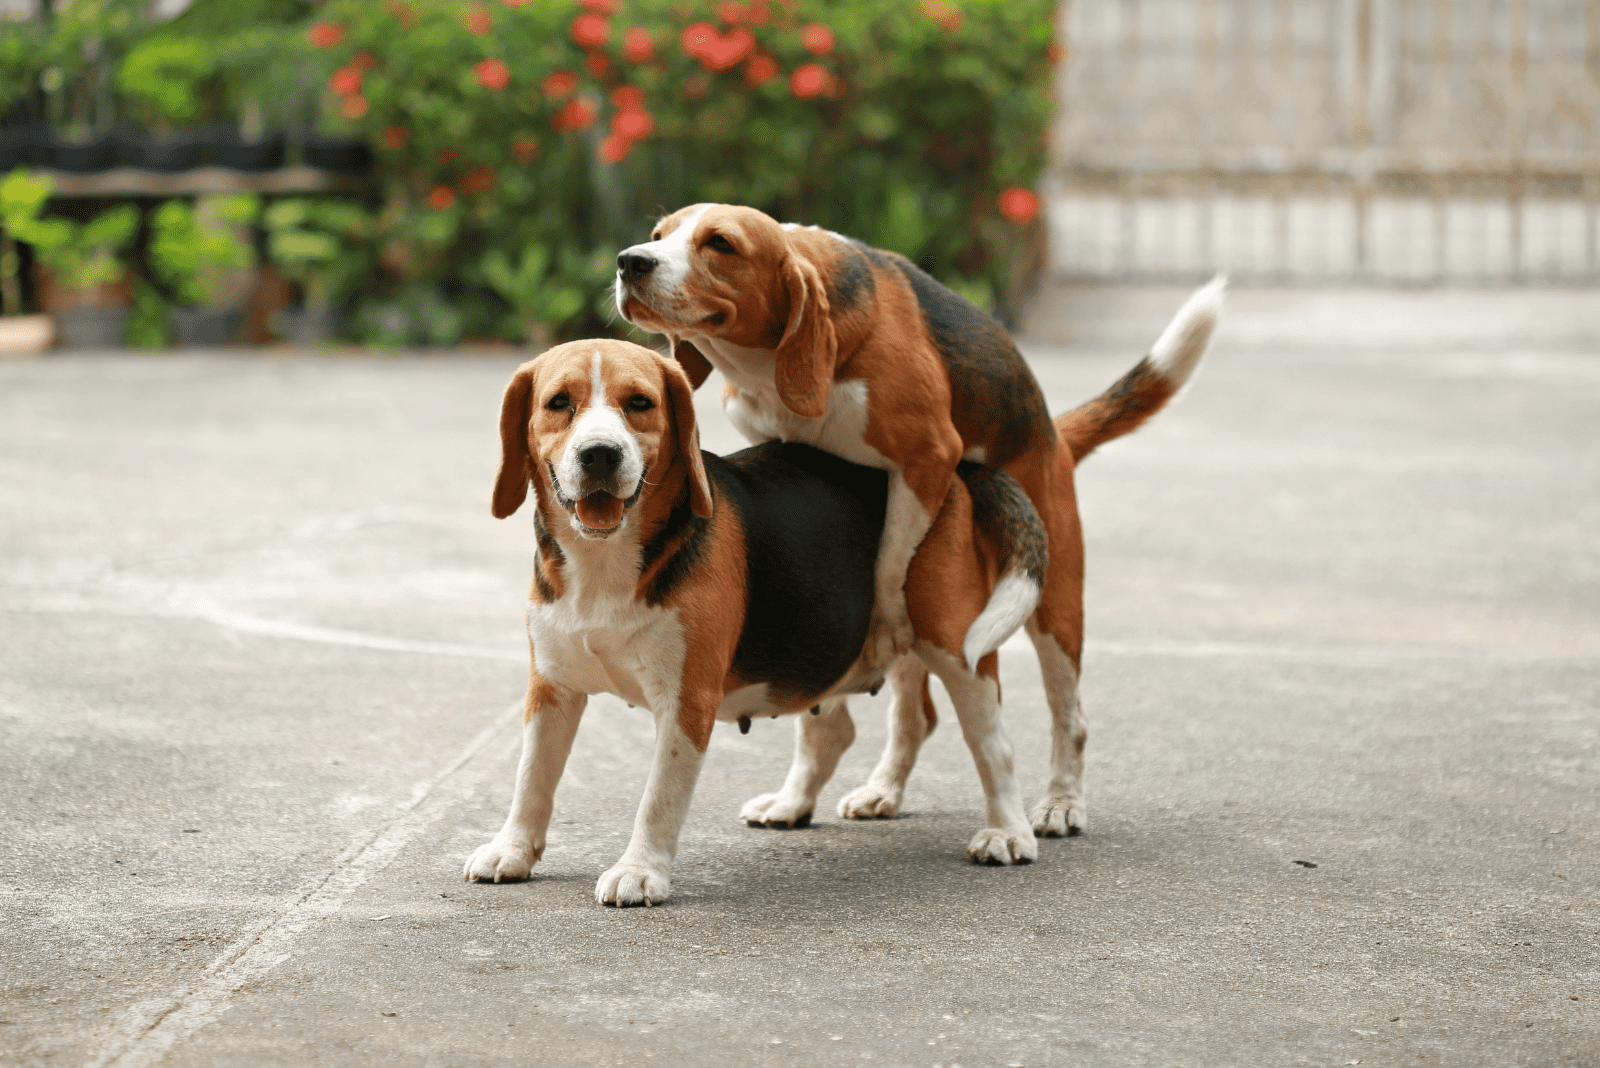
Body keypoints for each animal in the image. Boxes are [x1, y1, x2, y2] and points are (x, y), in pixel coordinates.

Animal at [464, 337, 1056, 908]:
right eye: (558, 403)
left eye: (640, 404)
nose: (600, 455)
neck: (604, 562)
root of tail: (958, 474)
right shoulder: (552, 690)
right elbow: (531, 779)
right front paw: (512, 850)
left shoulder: (686, 701)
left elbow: (657, 798)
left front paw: (640, 871)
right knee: (834, 730)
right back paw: (792, 803)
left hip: (955, 648)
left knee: (992, 744)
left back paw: (1008, 833)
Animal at [611, 206, 1222, 844]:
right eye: (658, 237)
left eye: (721, 244)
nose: (630, 263)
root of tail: (1053, 435)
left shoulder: (928, 458)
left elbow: (888, 564)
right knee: (913, 714)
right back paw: (861, 791)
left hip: (1053, 608)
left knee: (1066, 715)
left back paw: (1060, 802)